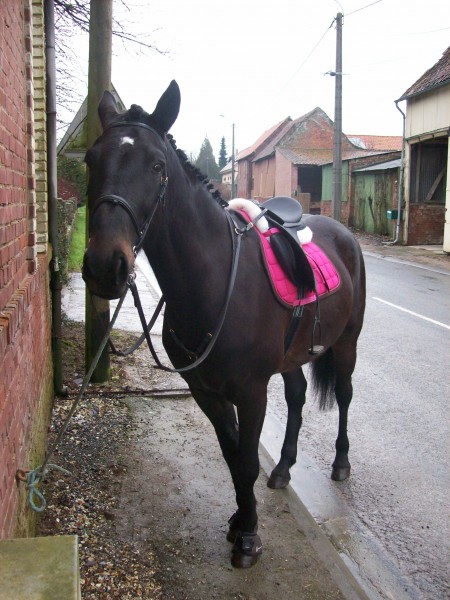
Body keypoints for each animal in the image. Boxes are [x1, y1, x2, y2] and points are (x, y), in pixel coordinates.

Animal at [81, 79, 366, 568]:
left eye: (157, 166)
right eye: (90, 160)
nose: (104, 267)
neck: (214, 282)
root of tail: (343, 232)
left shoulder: (251, 392)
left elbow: (247, 460)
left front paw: (249, 537)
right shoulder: (205, 392)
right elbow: (233, 458)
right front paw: (239, 519)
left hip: (347, 343)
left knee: (345, 396)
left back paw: (341, 464)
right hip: (293, 357)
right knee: (297, 397)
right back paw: (284, 467)